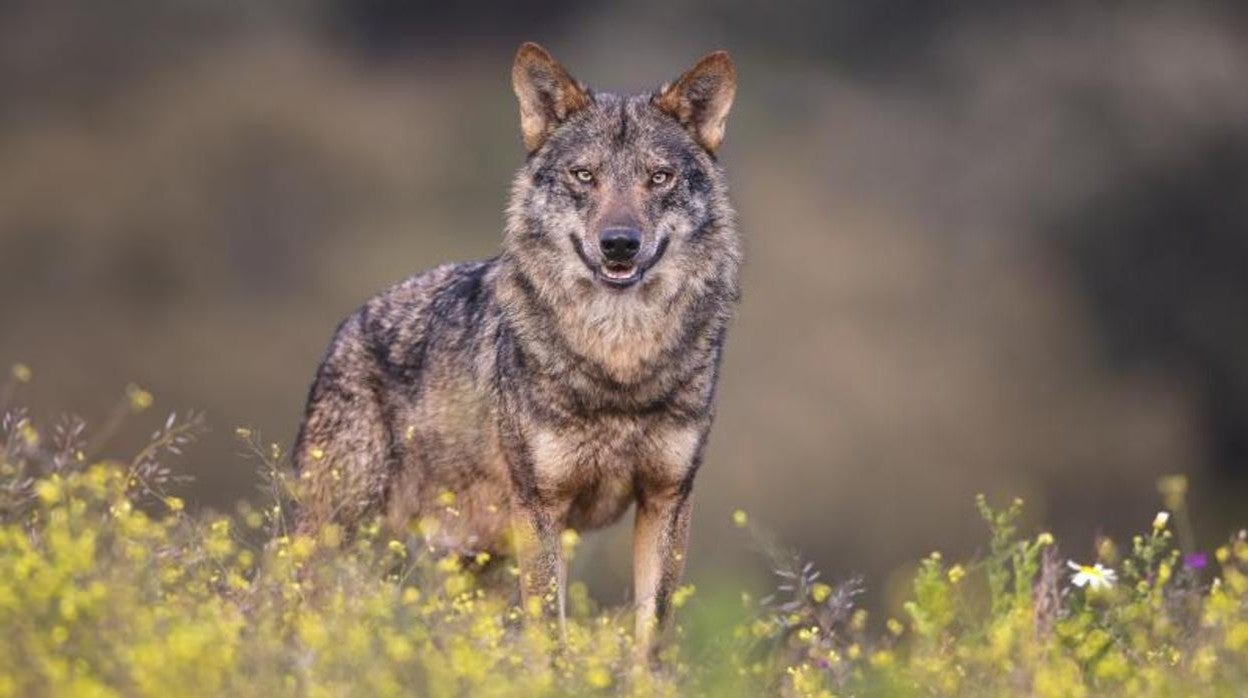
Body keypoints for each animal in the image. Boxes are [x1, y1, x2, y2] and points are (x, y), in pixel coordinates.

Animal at [293, 42, 739, 658]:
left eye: (659, 177)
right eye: (584, 176)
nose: (619, 244)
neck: (618, 365)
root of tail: (347, 326)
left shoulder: (666, 497)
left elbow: (650, 637)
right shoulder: (541, 506)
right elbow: (550, 633)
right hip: (340, 536)